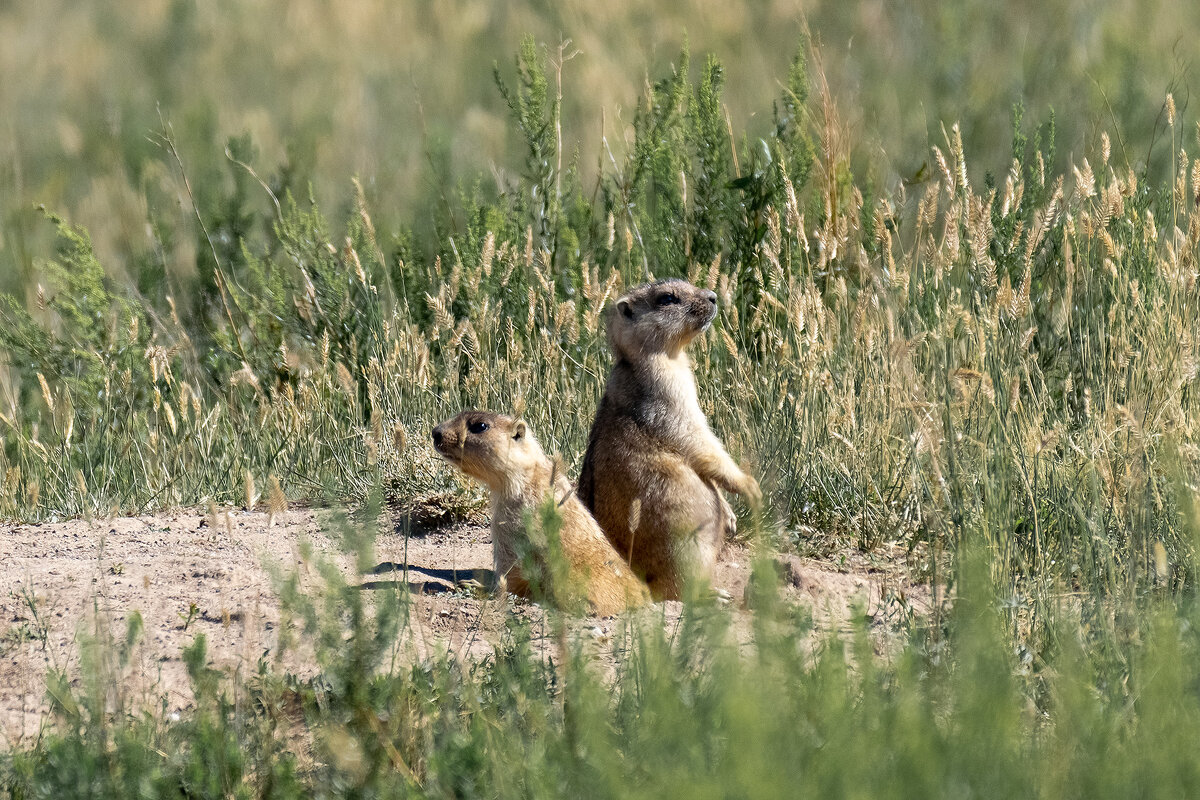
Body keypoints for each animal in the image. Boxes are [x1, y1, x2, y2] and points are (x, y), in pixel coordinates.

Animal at [432, 410, 652, 618]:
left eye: (480, 426)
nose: (435, 432)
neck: (527, 475)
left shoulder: (509, 521)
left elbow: (509, 566)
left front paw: (474, 584)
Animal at [578, 281, 763, 599]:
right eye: (667, 298)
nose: (714, 296)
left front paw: (729, 514)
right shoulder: (668, 390)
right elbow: (699, 438)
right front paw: (751, 488)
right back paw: (716, 594)